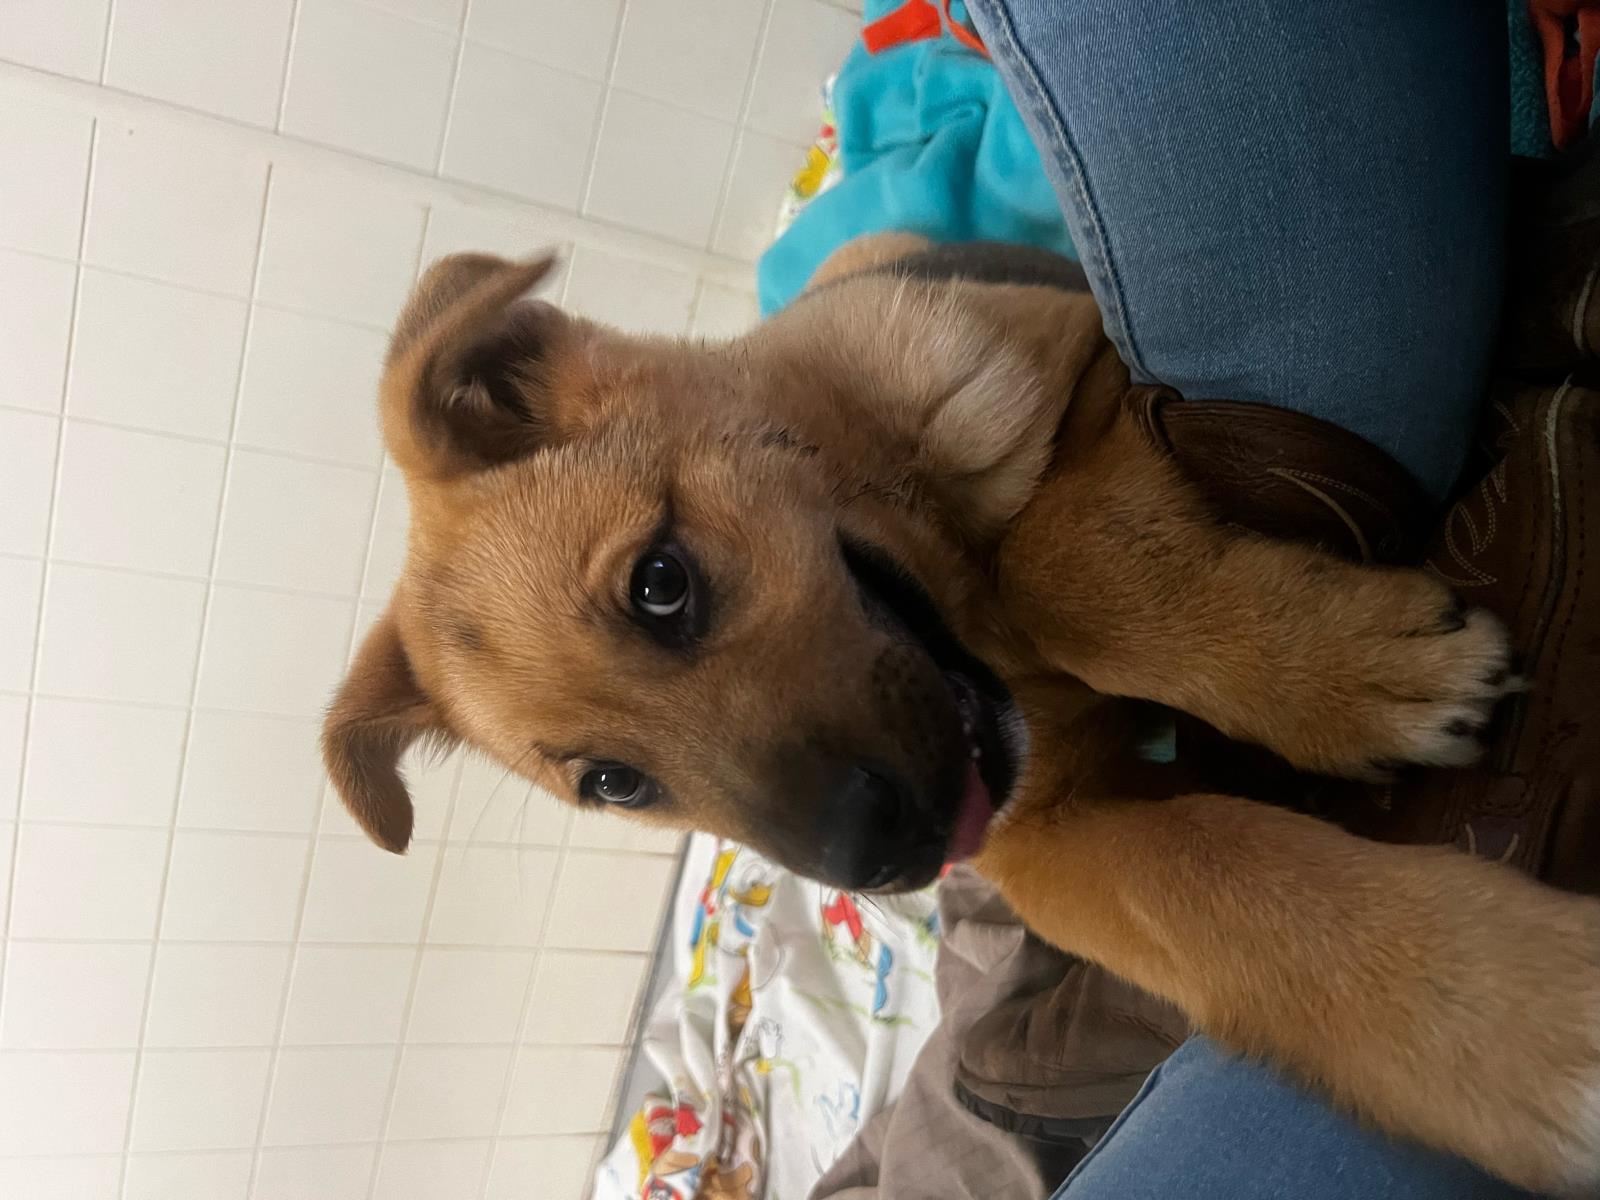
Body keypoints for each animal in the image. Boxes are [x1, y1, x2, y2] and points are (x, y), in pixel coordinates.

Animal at [321, 240, 1600, 1196]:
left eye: (661, 585)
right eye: (612, 782)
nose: (888, 861)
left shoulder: (1097, 376)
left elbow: (1059, 558)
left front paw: (1348, 675)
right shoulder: (1049, 841)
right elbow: (1215, 891)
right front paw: (1521, 1027)